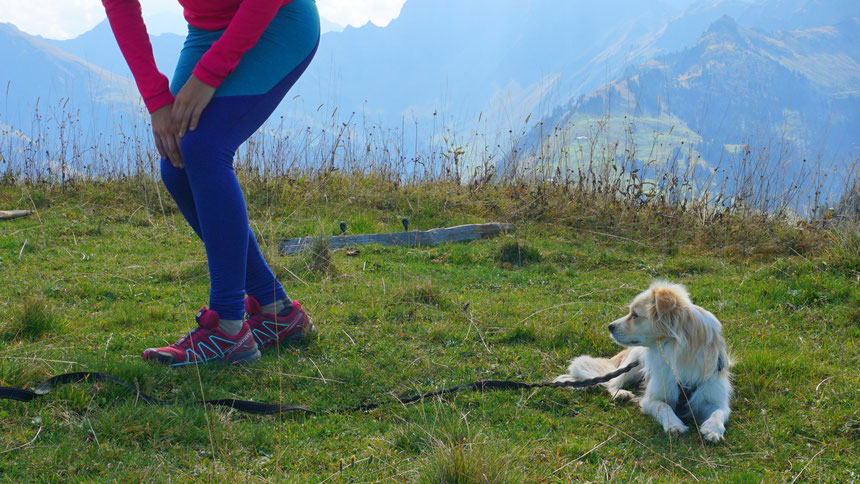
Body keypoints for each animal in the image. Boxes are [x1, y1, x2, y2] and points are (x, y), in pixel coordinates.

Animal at [552, 280, 732, 442]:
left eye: (635, 315)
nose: (610, 326)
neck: (676, 351)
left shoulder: (716, 397)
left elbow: (719, 412)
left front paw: (713, 429)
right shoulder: (651, 399)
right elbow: (664, 406)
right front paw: (674, 424)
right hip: (632, 365)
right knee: (612, 381)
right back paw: (620, 393)